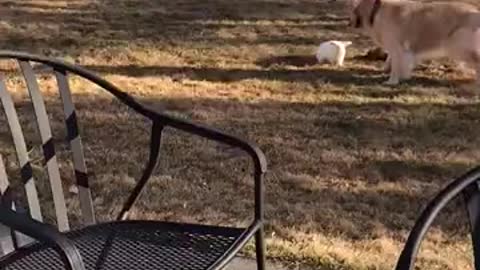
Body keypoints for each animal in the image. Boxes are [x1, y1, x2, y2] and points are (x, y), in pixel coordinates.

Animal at [346, 0, 480, 86]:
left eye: (352, 12)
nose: (348, 23)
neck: (376, 11)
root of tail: (475, 11)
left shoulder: (397, 47)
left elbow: (396, 65)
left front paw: (392, 81)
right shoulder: (399, 49)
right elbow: (391, 60)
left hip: (456, 46)